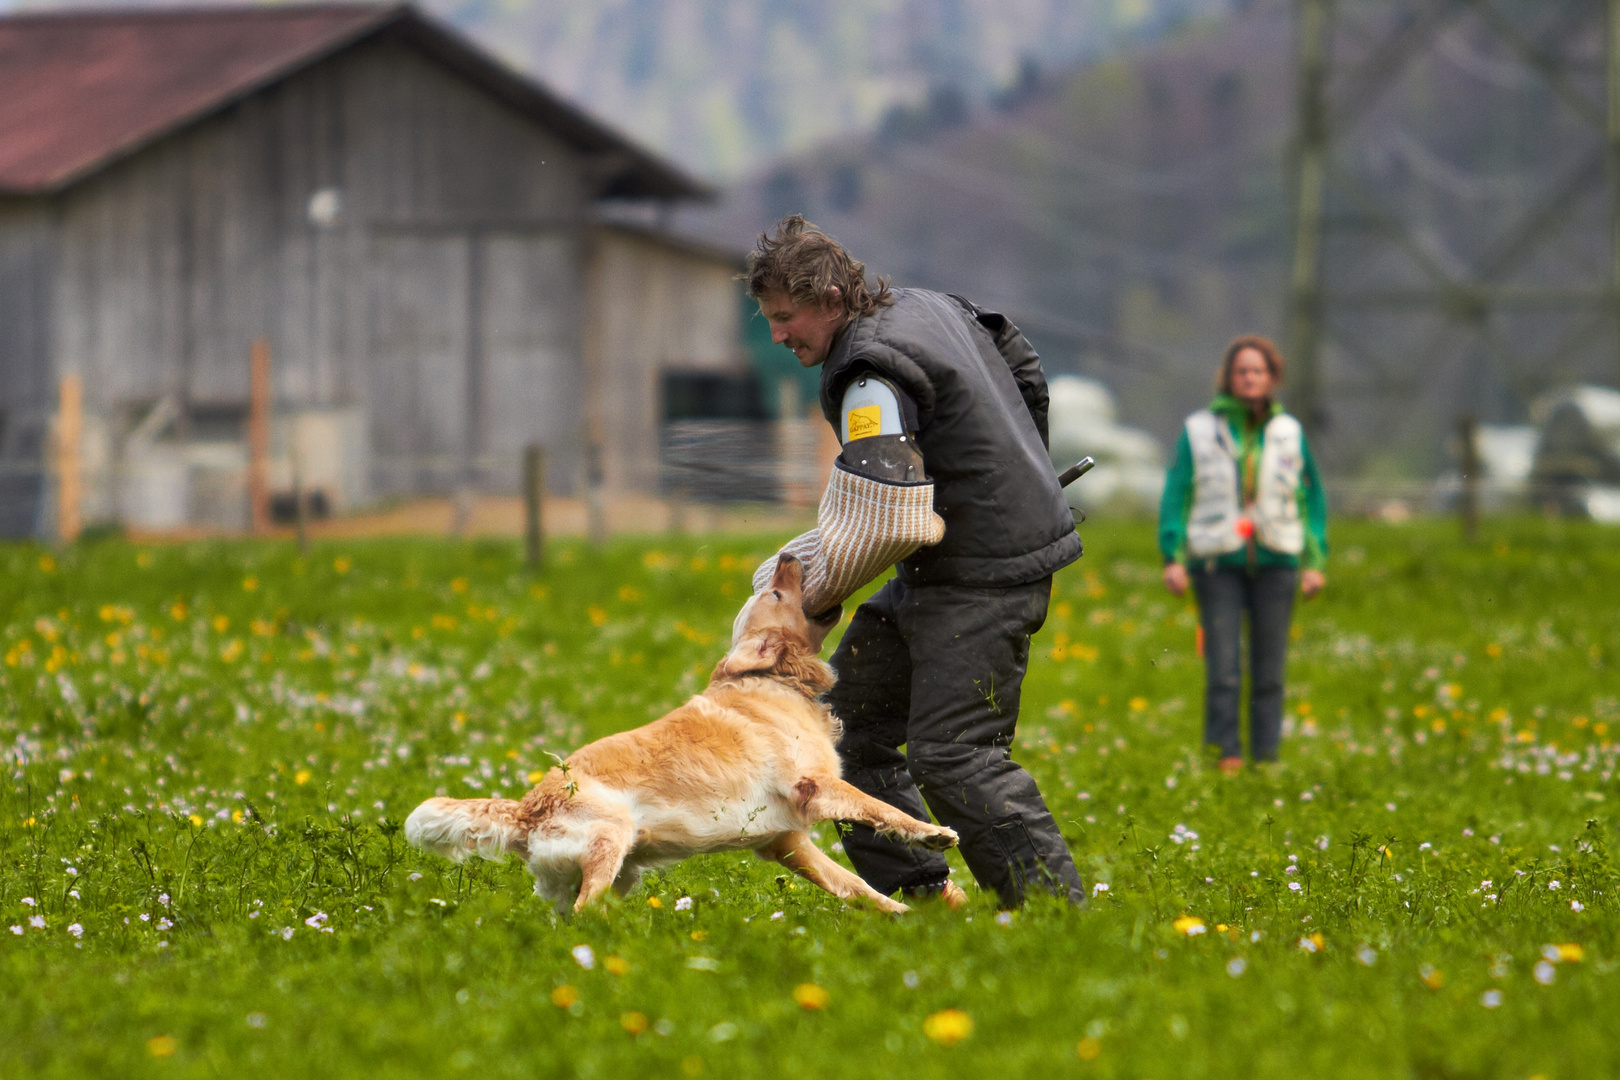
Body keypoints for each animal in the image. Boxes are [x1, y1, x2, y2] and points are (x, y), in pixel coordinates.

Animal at [405, 553, 952, 919]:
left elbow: (853, 886)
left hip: (601, 872)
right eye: (776, 594)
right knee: (586, 912)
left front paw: (908, 920)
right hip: (609, 838)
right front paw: (935, 834)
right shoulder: (814, 787)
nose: (788, 556)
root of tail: (525, 809)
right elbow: (883, 811)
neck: (776, 680)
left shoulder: (785, 840)